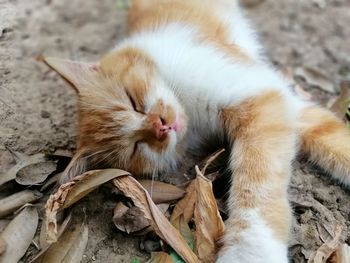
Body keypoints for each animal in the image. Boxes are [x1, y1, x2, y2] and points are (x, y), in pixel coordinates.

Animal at [43, 1, 350, 262]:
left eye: (133, 101)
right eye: (136, 146)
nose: (162, 126)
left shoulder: (261, 91)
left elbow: (257, 179)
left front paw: (251, 249)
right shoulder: (274, 100)